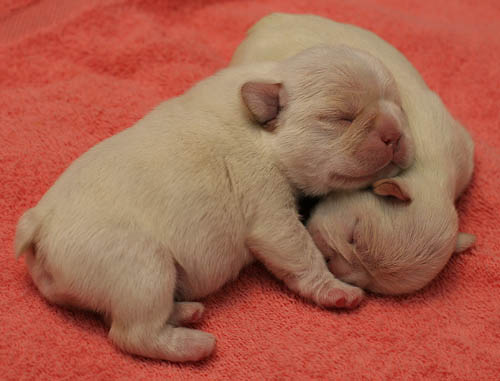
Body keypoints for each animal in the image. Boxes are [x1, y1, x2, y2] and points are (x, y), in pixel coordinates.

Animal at [14, 45, 414, 362]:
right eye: (342, 118)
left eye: (398, 105)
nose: (395, 134)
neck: (263, 135)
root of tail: (39, 226)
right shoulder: (270, 213)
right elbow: (301, 252)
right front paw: (335, 290)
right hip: (139, 265)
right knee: (131, 333)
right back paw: (193, 345)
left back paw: (182, 311)